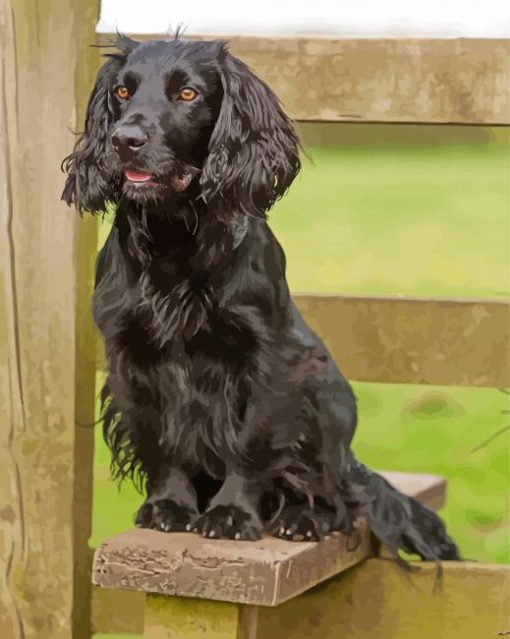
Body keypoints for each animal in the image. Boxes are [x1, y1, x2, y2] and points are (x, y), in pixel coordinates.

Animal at [61, 33, 460, 560]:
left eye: (187, 93)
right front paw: (169, 507)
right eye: (123, 92)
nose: (123, 140)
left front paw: (231, 514)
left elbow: (251, 442)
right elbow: (161, 440)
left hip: (322, 392)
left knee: (335, 493)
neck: (175, 240)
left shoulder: (269, 356)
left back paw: (303, 517)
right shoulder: (131, 355)